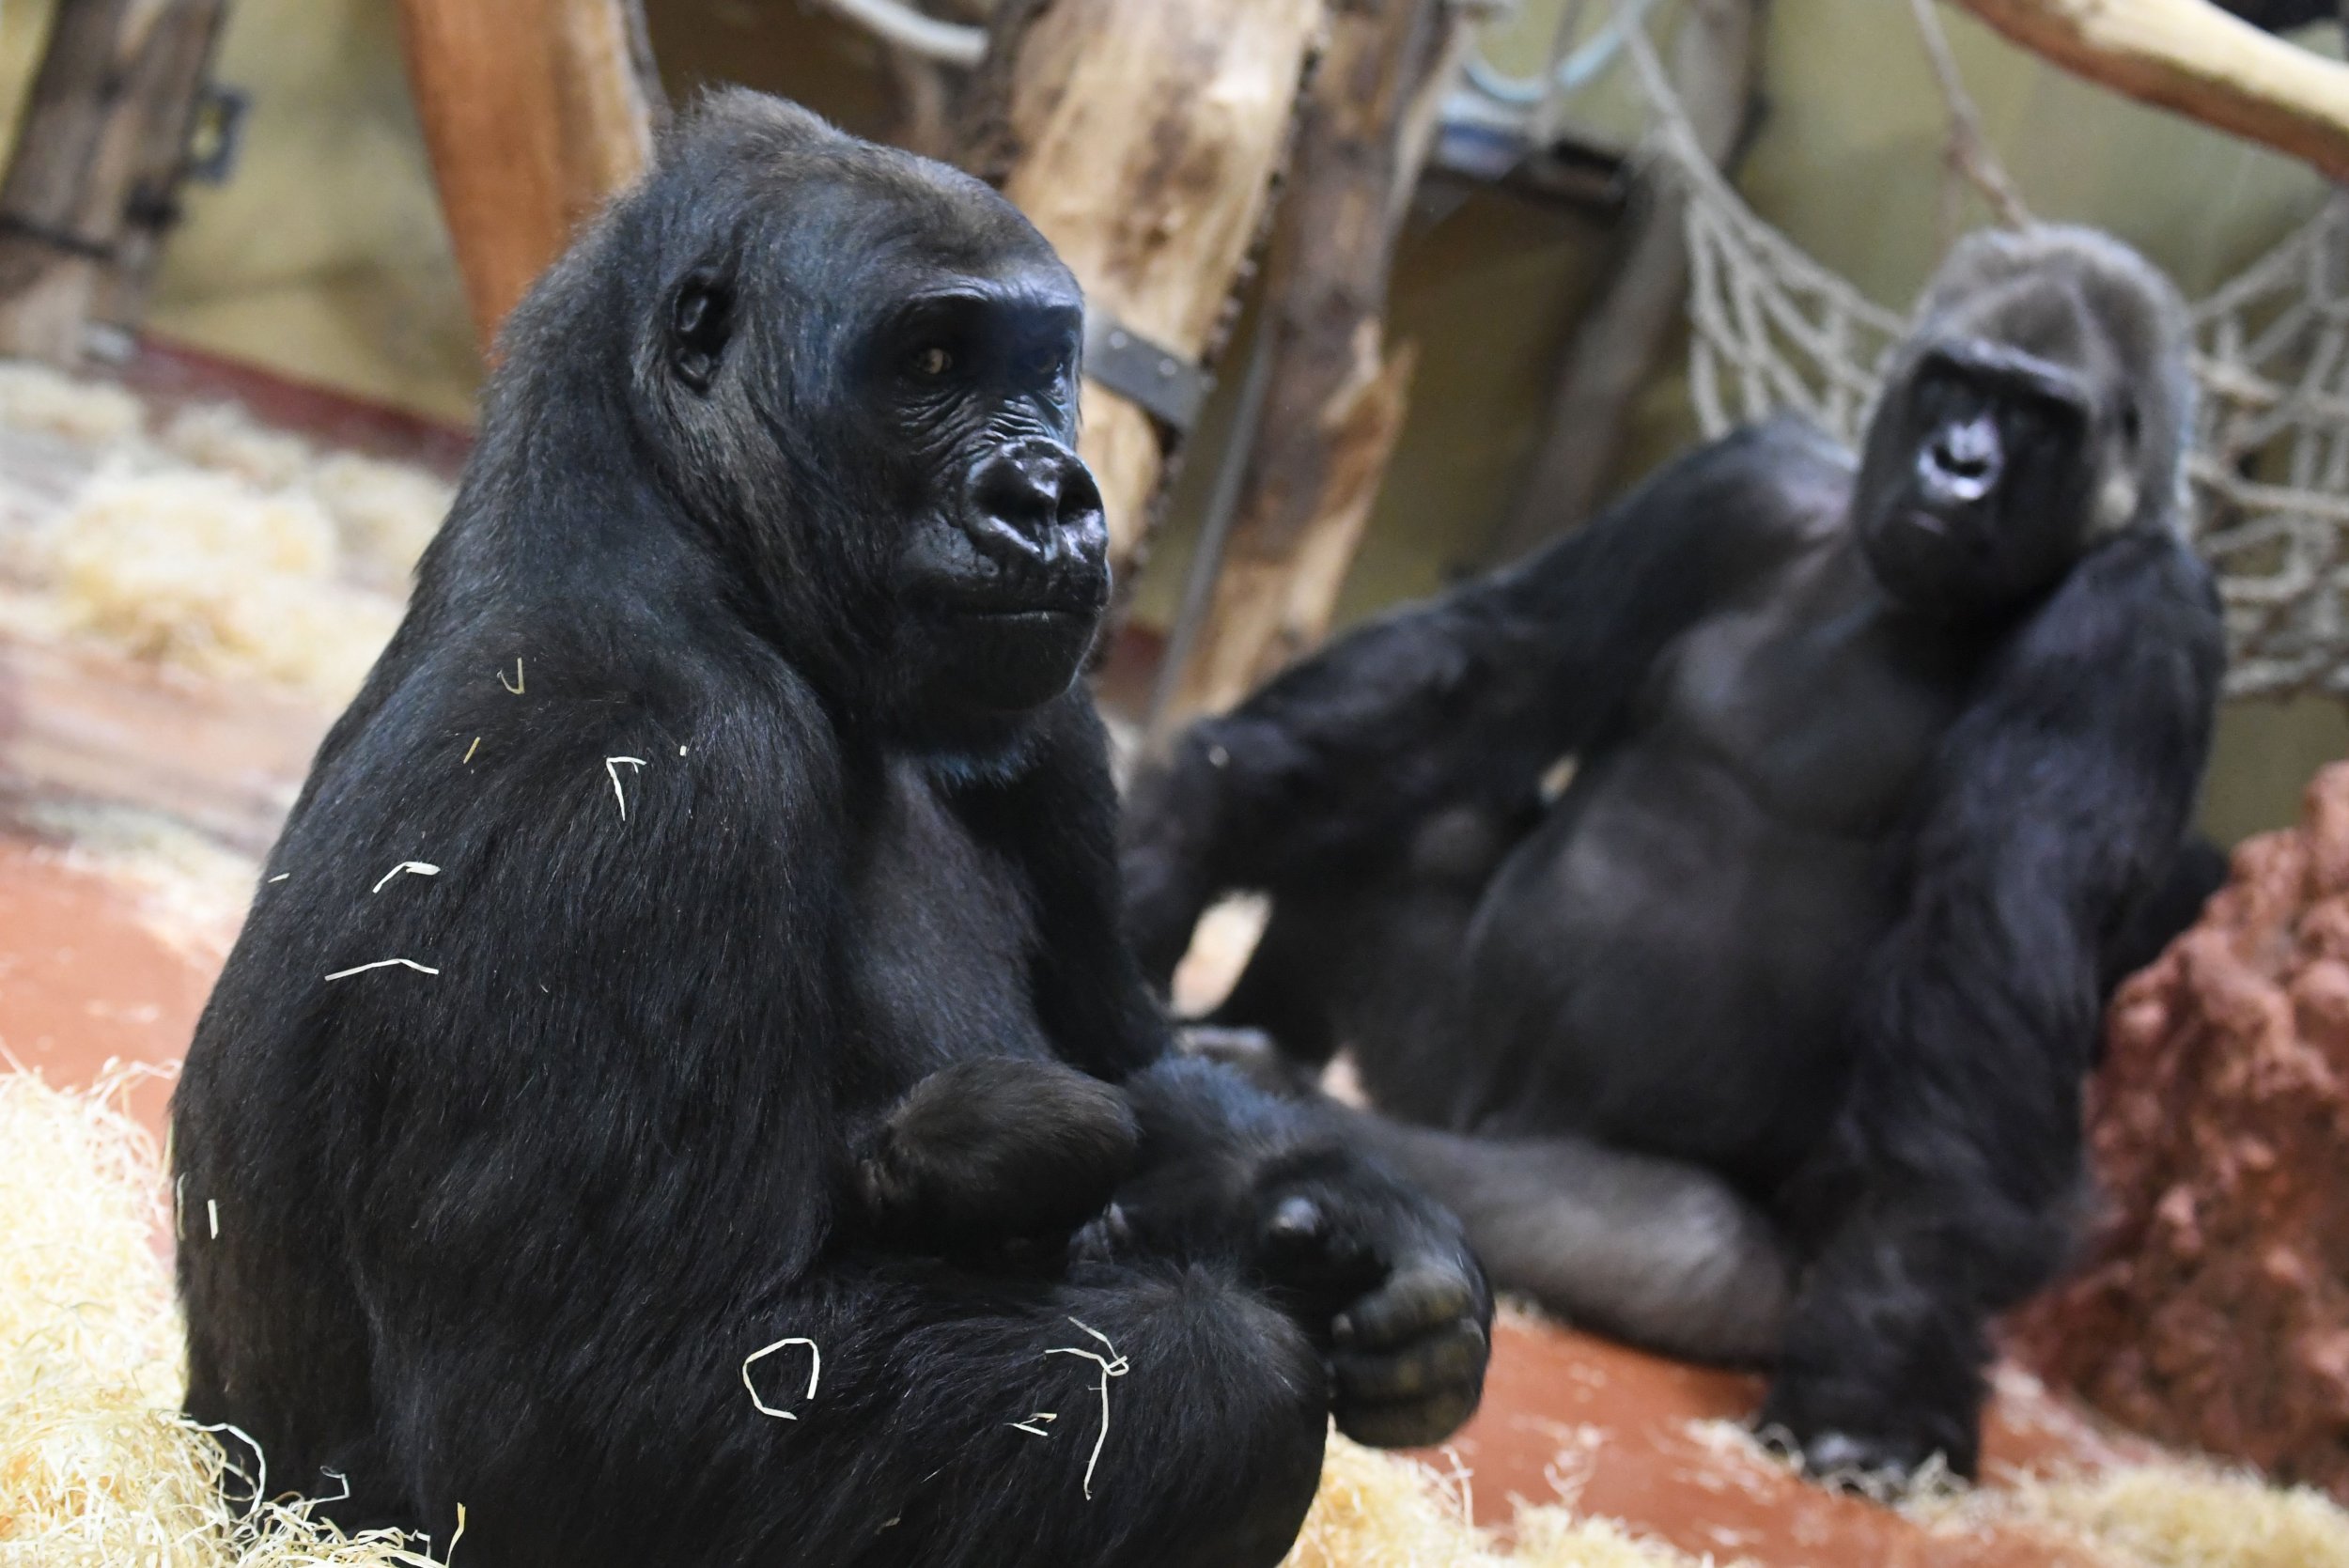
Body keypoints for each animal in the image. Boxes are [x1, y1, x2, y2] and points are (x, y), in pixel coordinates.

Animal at [170, 88, 1485, 1568]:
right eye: (931, 360)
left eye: (1045, 366)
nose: (1048, 492)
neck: (687, 530)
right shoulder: (649, 757)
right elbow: (605, 1417)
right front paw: (1247, 1366)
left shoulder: (1053, 723)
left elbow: (1136, 1062)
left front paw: (1374, 1228)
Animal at [1128, 223, 2227, 1483]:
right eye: (1955, 383)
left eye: (2038, 416)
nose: (1958, 464)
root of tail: (1491, 1111)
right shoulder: (1741, 486)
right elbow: (1490, 673)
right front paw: (1177, 836)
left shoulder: (2135, 615)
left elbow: (1988, 962)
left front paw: (1885, 1354)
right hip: (1447, 1060)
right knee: (1423, 807)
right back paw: (1246, 1051)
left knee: (1660, 1236)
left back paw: (1293, 1111)